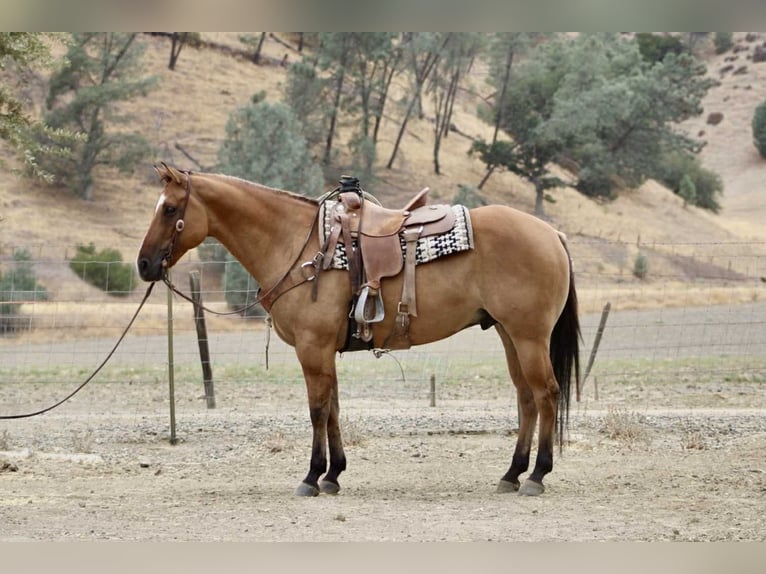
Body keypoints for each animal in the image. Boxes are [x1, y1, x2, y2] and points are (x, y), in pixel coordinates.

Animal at [137, 163, 580, 497]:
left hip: (529, 337)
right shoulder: (323, 352)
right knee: (526, 398)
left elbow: (317, 409)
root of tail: (552, 233)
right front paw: (333, 475)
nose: (143, 264)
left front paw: (312, 476)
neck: (298, 244)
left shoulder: (312, 348)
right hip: (509, 334)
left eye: (169, 208)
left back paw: (537, 475)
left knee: (546, 393)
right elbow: (333, 407)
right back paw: (512, 473)